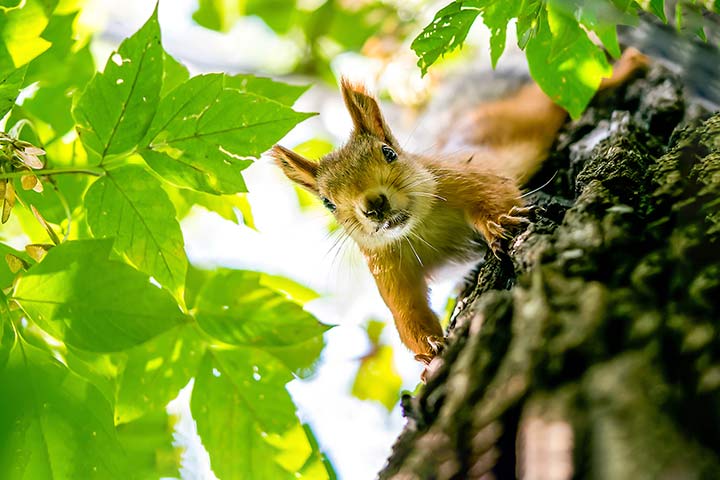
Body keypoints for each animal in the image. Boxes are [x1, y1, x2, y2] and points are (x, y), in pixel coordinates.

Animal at [272, 47, 652, 364]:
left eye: (389, 152)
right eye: (328, 203)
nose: (373, 205)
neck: (422, 226)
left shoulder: (468, 175)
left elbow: (495, 195)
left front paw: (499, 224)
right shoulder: (386, 265)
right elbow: (406, 312)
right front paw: (430, 350)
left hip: (535, 109)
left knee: (573, 93)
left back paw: (631, 63)